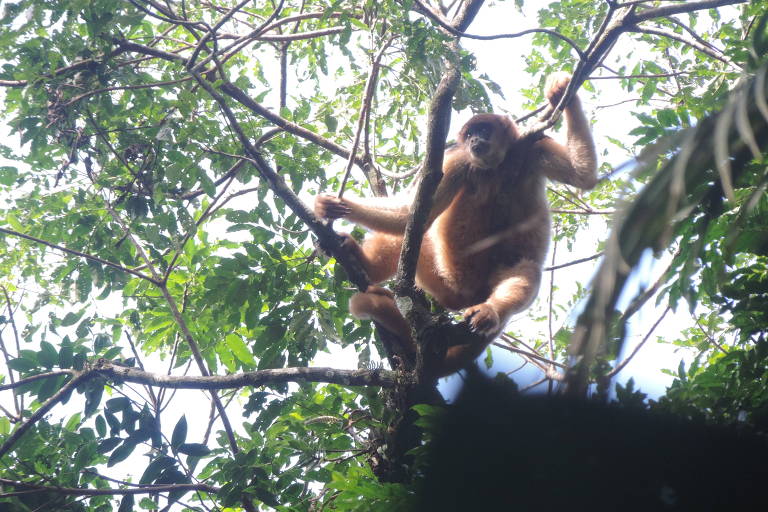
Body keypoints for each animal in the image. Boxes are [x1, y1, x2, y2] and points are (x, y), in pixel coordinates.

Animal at [316, 72, 596, 376]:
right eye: (471, 134)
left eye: (484, 130)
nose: (475, 140)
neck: (496, 168)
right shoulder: (459, 162)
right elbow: (409, 214)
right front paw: (335, 206)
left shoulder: (531, 148)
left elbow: (583, 176)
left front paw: (560, 93)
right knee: (415, 229)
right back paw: (364, 263)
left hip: (452, 283)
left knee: (523, 268)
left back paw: (491, 311)